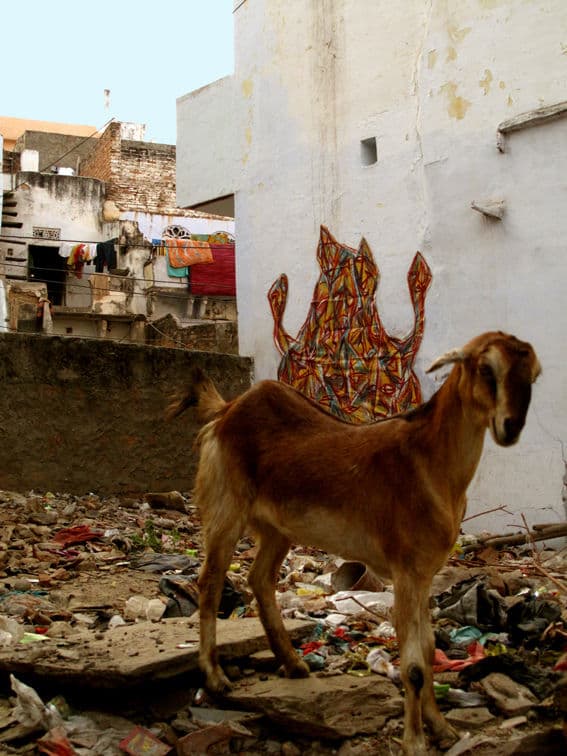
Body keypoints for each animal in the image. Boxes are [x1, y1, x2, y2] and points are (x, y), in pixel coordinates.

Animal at [169, 334, 540, 752]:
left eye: (533, 376)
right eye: (486, 368)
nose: (511, 426)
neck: (431, 463)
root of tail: (228, 409)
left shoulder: (424, 574)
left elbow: (429, 651)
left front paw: (442, 729)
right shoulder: (406, 571)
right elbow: (414, 665)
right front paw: (415, 743)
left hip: (279, 528)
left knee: (259, 578)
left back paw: (294, 664)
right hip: (225, 508)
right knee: (210, 582)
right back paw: (216, 676)